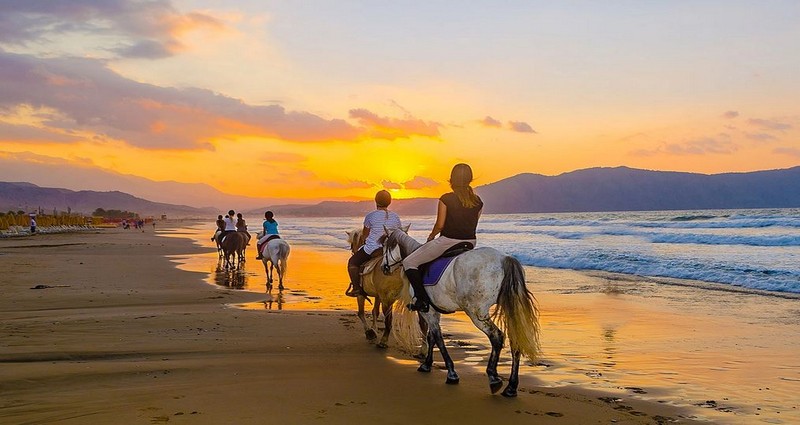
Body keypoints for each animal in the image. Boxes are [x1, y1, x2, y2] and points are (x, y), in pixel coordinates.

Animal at [382, 227, 544, 396]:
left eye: (384, 246)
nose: (384, 268)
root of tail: (504, 259)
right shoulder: (434, 311)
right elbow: (431, 337)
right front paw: (427, 365)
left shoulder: (428, 312)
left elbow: (438, 339)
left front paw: (451, 373)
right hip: (509, 307)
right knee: (515, 339)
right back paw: (511, 387)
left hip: (476, 313)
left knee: (496, 336)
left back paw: (493, 377)